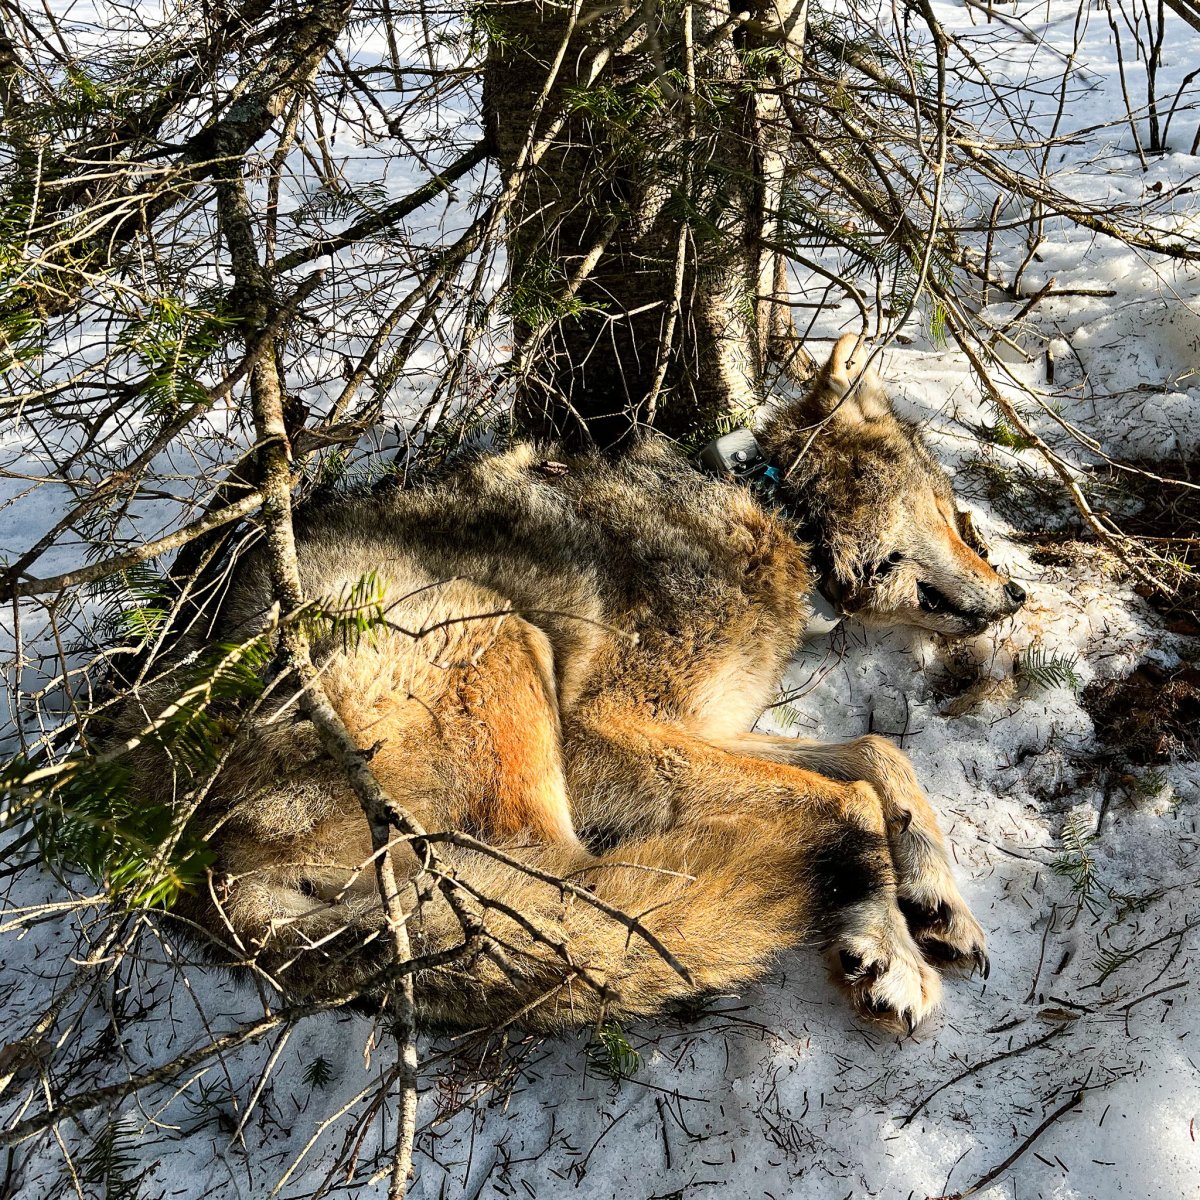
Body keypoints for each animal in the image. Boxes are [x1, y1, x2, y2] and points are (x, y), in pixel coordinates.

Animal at [129, 336, 1022, 1032]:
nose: (1015, 592)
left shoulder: (709, 727)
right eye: (952, 514)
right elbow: (852, 796)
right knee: (571, 892)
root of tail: (193, 868)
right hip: (497, 634)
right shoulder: (605, 731)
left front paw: (936, 899)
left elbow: (878, 756)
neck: (775, 511)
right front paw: (890, 944)